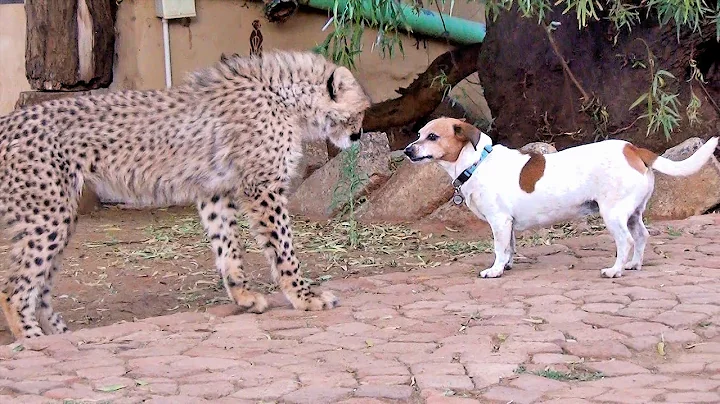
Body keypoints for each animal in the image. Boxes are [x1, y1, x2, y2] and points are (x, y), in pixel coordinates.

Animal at [404, 117, 720, 278]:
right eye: (419, 134)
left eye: (432, 137)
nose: (407, 150)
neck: (476, 162)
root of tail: (633, 149)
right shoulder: (509, 225)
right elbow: (509, 248)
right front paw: (507, 265)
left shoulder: (499, 222)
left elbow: (499, 249)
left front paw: (495, 270)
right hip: (632, 214)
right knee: (641, 236)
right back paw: (633, 265)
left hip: (613, 215)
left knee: (626, 242)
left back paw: (616, 270)